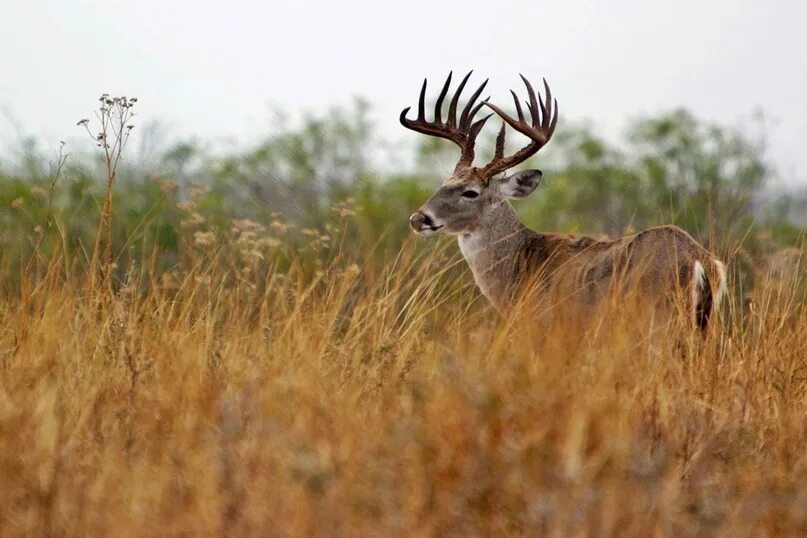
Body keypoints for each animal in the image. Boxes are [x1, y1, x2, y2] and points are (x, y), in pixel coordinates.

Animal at [402, 71, 724, 328]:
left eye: (470, 192)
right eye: (444, 183)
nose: (418, 218)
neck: (518, 267)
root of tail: (700, 260)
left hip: (659, 316)